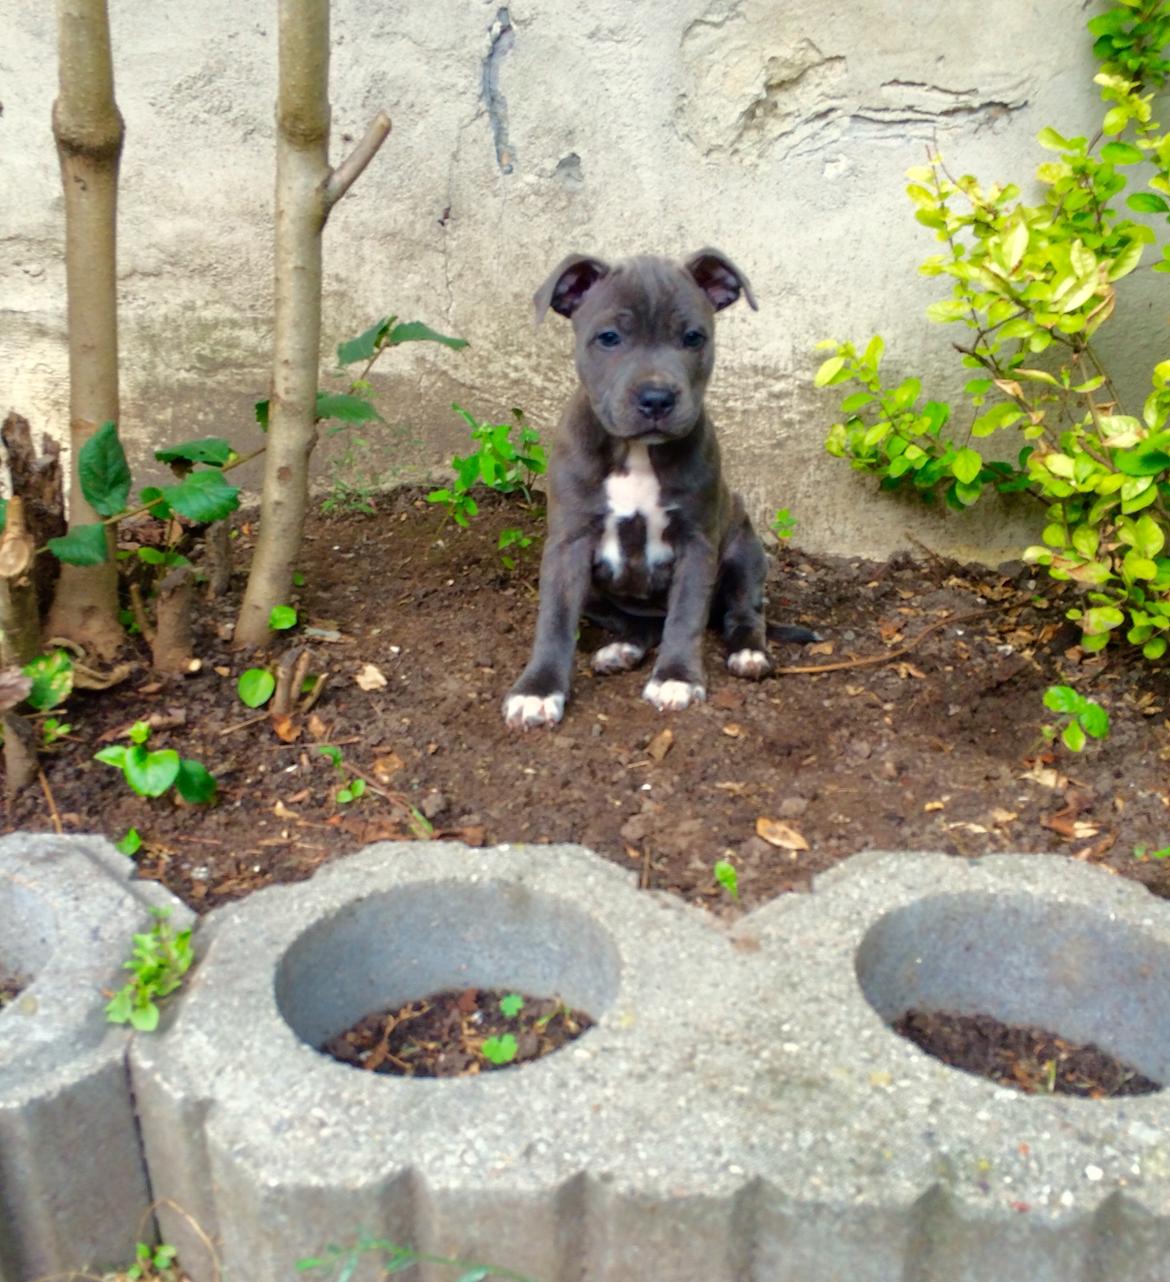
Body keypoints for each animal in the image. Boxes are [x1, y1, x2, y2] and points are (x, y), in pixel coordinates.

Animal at [502, 247, 794, 733]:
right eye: (609, 337)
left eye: (693, 337)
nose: (657, 398)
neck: (636, 452)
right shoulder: (567, 545)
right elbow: (556, 619)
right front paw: (538, 690)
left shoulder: (697, 543)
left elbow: (687, 615)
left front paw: (676, 677)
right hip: (597, 592)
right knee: (639, 625)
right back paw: (621, 650)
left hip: (744, 551)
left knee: (743, 611)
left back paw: (749, 652)